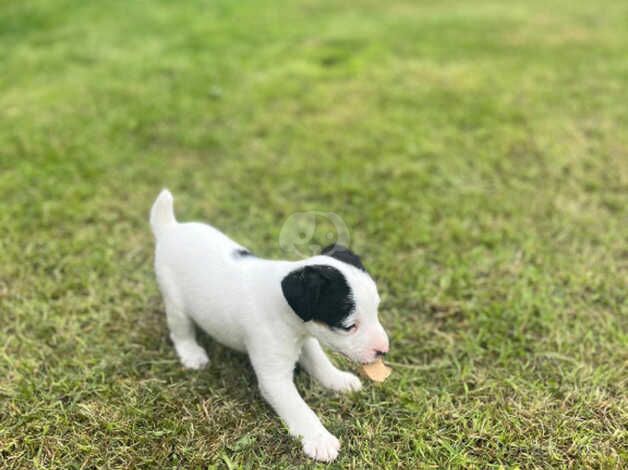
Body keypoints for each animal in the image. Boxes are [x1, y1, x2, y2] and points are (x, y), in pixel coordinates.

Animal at [150, 190, 390, 462]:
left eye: (376, 310)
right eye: (349, 326)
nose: (384, 350)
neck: (285, 309)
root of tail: (170, 228)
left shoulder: (305, 338)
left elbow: (320, 363)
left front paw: (338, 380)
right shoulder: (274, 378)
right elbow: (299, 409)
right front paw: (319, 439)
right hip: (175, 303)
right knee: (180, 331)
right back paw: (191, 353)